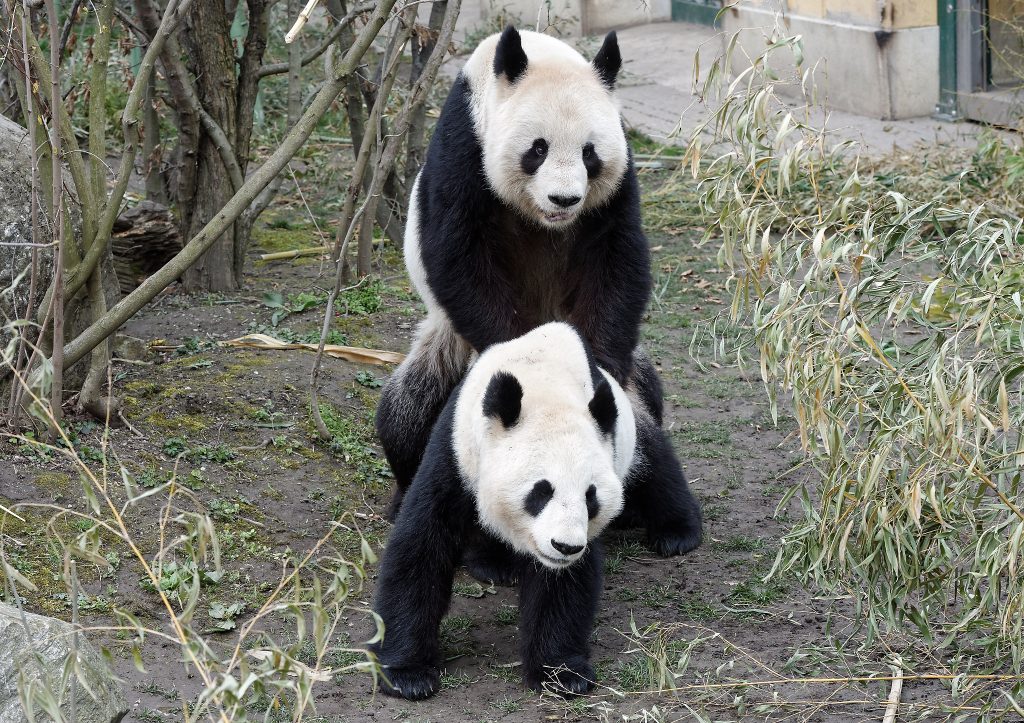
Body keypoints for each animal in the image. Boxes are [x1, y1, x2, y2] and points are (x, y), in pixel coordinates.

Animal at [376, 25, 704, 557]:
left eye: (590, 152)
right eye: (537, 149)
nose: (564, 198)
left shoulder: (618, 183)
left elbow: (619, 260)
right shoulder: (465, 146)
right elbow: (457, 254)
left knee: (644, 406)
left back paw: (663, 522)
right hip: (449, 345)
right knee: (409, 409)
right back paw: (403, 490)